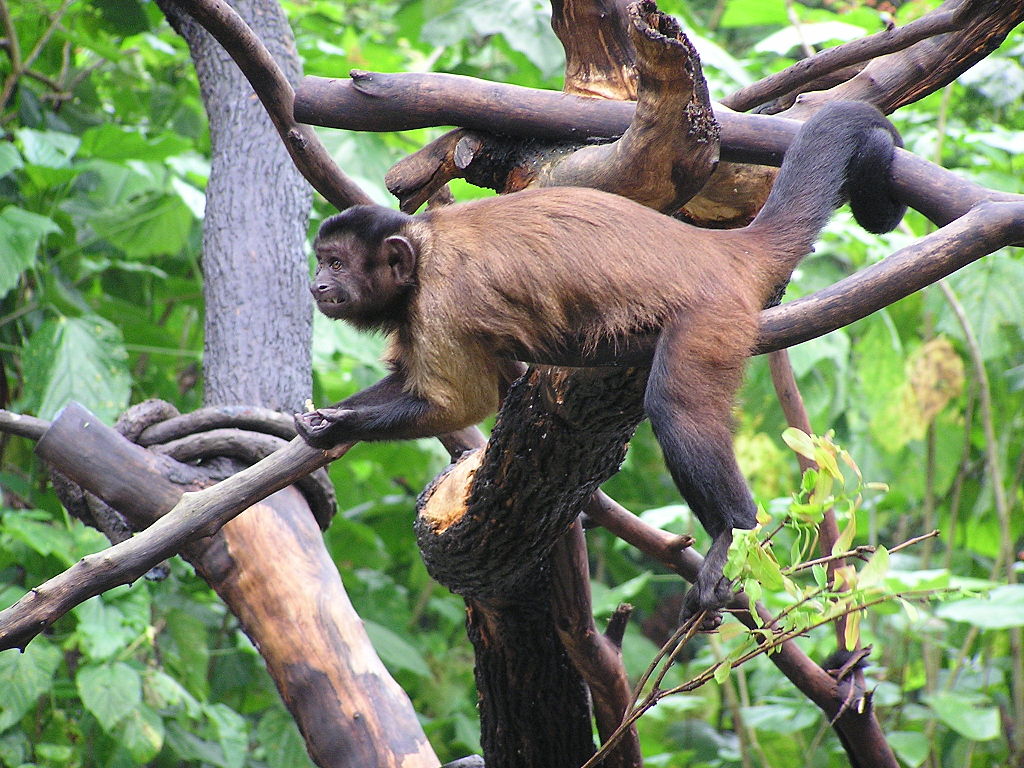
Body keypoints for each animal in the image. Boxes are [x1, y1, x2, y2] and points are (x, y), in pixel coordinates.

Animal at [294, 102, 905, 626]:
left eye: (336, 264)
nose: (317, 284)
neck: (422, 255)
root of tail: (717, 249)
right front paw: (319, 423)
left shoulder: (442, 297)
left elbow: (460, 402)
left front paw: (341, 424)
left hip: (712, 314)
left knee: (676, 406)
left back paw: (731, 529)